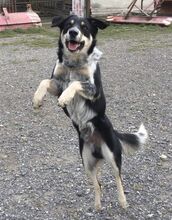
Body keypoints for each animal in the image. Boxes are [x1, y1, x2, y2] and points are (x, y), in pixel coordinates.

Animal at [32, 14, 148, 211]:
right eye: (68, 25)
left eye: (84, 27)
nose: (73, 32)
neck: (74, 63)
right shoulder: (57, 85)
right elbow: (45, 81)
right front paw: (37, 99)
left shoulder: (94, 91)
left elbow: (75, 83)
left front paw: (65, 98)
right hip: (87, 162)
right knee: (98, 184)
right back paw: (97, 205)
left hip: (113, 156)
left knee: (118, 178)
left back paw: (123, 201)